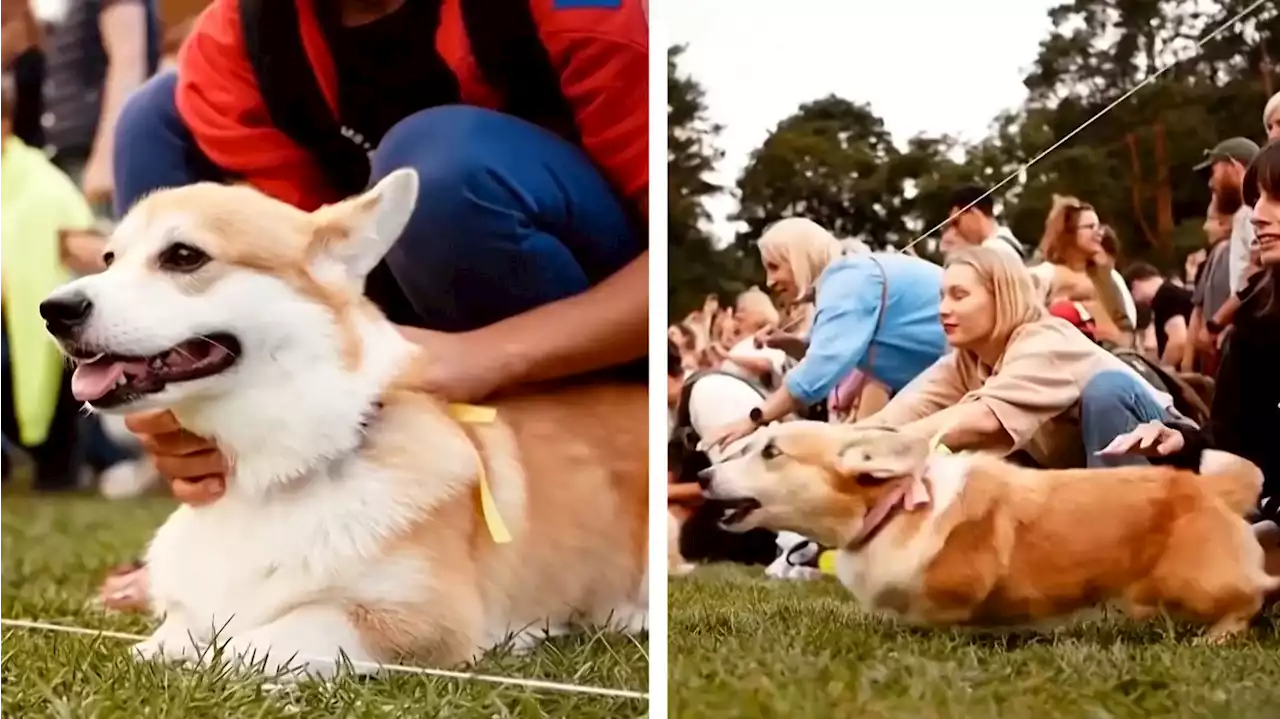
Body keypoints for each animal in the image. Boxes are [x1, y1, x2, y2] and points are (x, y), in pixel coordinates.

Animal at [40, 170, 650, 675]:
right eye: (109, 259)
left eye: (184, 255)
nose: (53, 310)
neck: (268, 478)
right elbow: (170, 639)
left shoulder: (422, 621)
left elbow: (253, 642)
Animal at [706, 419, 1274, 637]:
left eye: (771, 452)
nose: (704, 476)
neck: (890, 507)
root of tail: (1209, 489)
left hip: (1191, 584)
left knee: (1255, 594)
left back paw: (1215, 638)